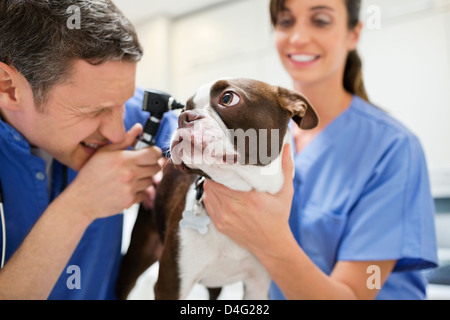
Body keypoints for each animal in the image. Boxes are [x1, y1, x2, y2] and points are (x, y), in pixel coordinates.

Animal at [118, 78, 318, 300]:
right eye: (185, 108)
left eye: (228, 98)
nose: (184, 116)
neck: (238, 188)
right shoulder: (169, 285)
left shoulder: (257, 286)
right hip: (138, 253)